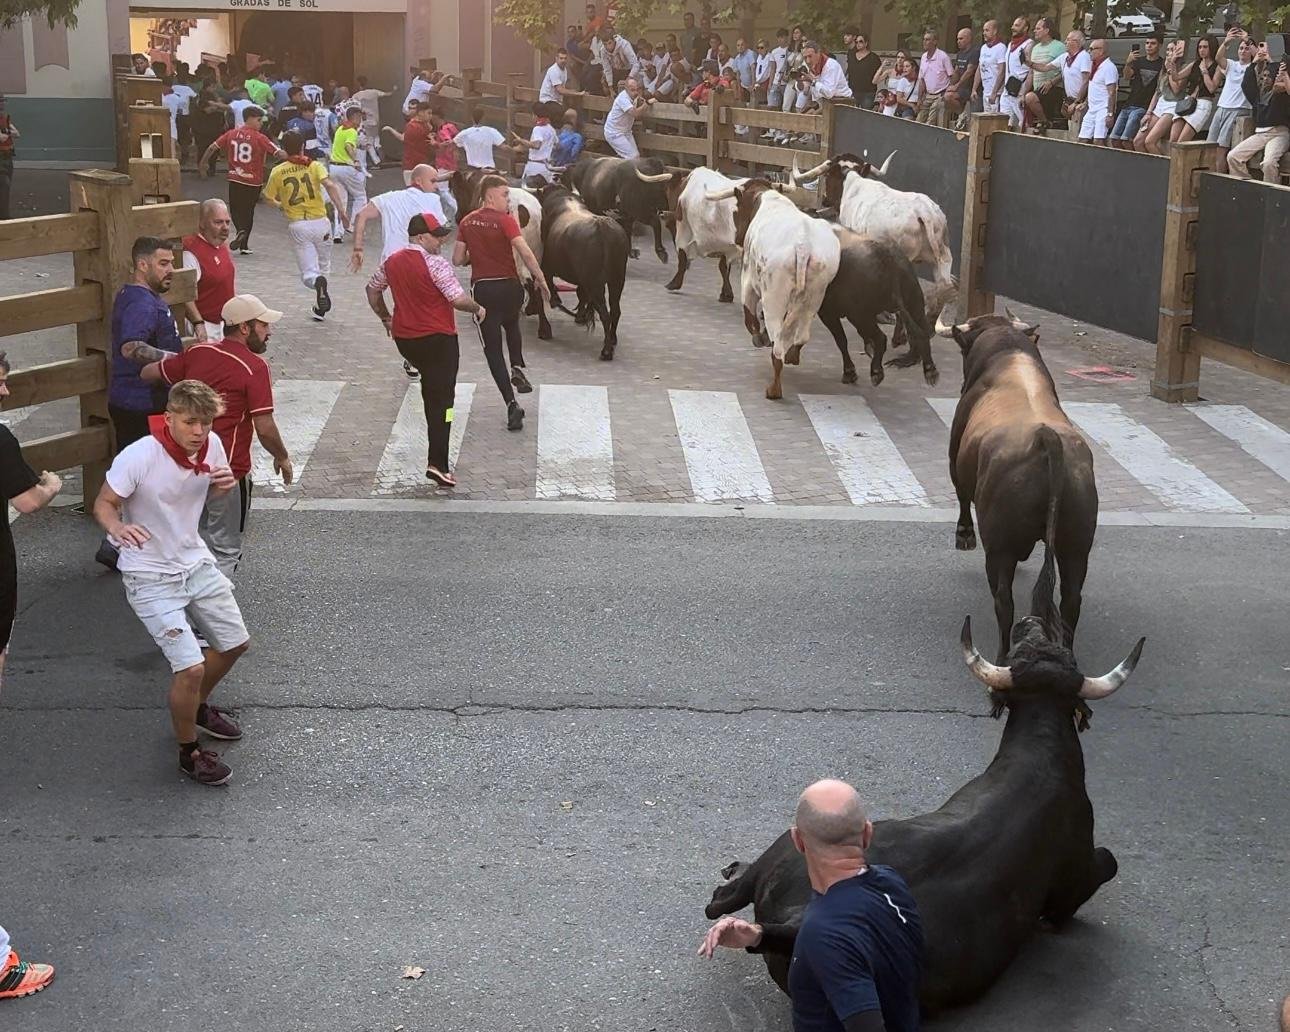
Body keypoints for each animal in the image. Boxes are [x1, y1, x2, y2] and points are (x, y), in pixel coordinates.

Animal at [701, 181, 841, 399]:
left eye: (737, 209)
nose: (736, 236)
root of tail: (803, 246)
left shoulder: (748, 281)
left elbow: (749, 316)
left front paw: (758, 338)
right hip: (815, 295)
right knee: (801, 335)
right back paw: (792, 356)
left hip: (774, 296)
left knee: (778, 345)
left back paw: (774, 388)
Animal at [701, 572, 1145, 1016]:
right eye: (1023, 648)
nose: (1028, 620)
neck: (1041, 746)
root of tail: (796, 921)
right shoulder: (1080, 868)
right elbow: (1107, 862)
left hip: (784, 847)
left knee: (721, 899)